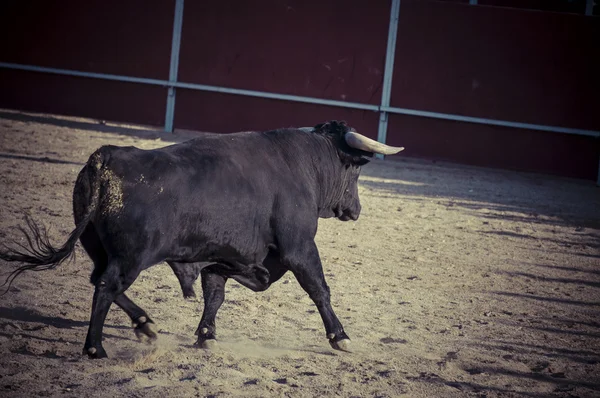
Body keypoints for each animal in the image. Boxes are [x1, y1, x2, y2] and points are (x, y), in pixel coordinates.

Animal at [1, 120, 404, 358]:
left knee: (101, 281)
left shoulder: (223, 253)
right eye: (354, 172)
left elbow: (215, 293)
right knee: (106, 286)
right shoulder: (299, 248)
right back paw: (96, 348)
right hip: (131, 258)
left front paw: (206, 334)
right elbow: (319, 288)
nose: (356, 209)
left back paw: (145, 324)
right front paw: (340, 336)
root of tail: (106, 157)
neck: (306, 165)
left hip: (100, 249)